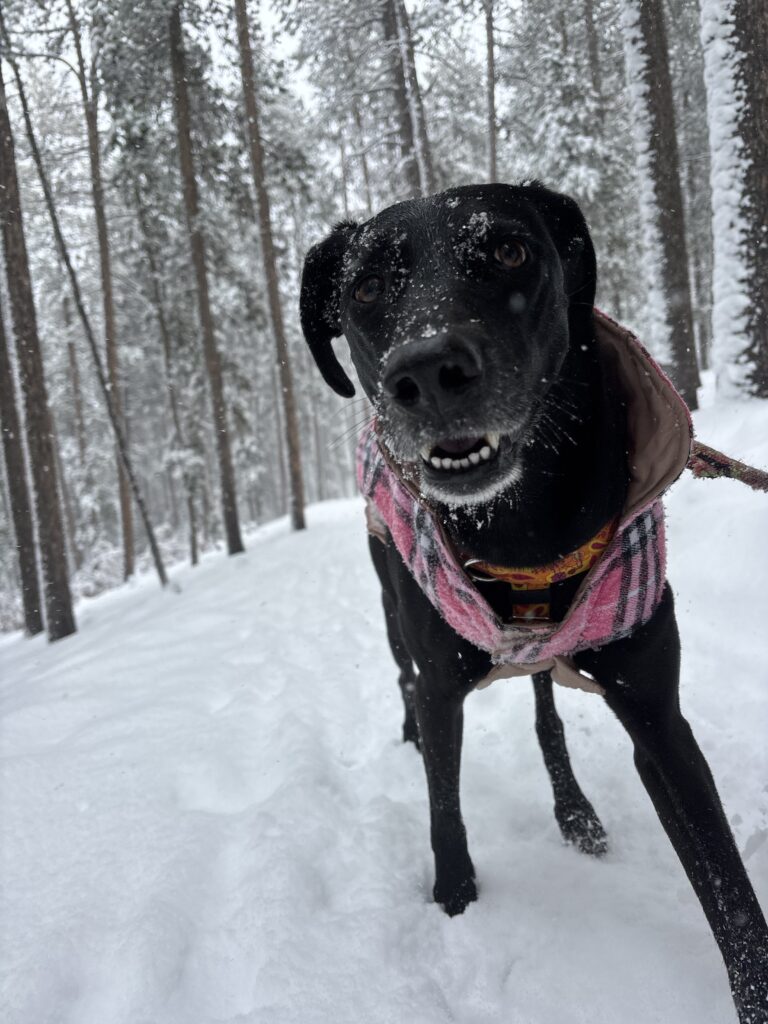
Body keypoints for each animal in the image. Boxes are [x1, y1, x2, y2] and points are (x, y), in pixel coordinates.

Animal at [299, 184, 768, 1024]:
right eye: (366, 288)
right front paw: (454, 895)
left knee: (547, 710)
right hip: (391, 600)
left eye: (511, 251)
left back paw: (574, 809)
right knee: (404, 674)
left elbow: (732, 897)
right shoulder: (443, 682)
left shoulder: (658, 717)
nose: (427, 371)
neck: (520, 528)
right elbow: (443, 803)